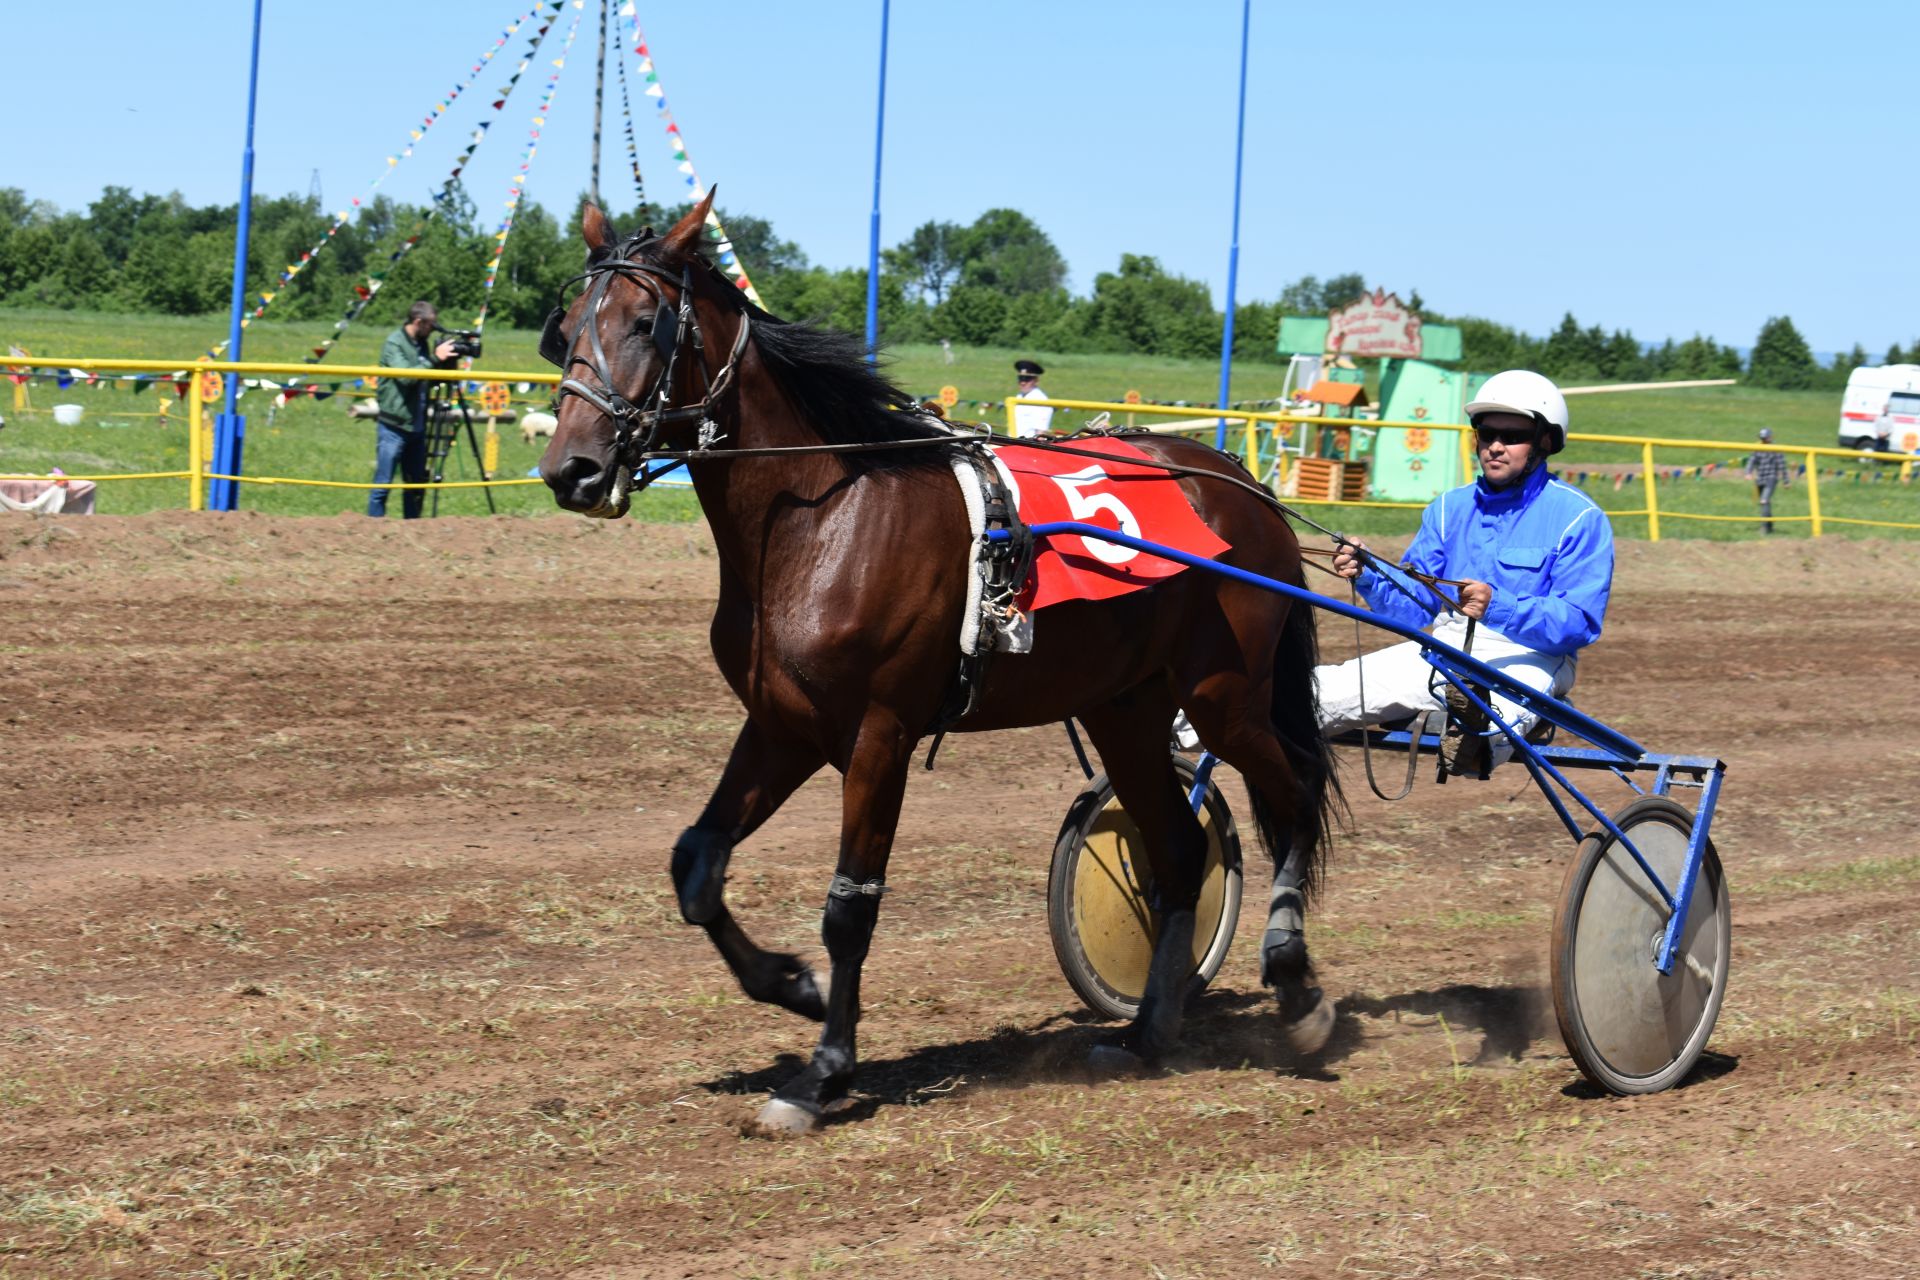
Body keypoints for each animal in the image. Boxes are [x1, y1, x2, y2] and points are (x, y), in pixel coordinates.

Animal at [526, 189, 1336, 1128]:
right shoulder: (783, 727)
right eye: (564, 327)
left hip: (1224, 693)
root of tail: (1242, 480)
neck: (822, 520)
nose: (573, 469)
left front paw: (823, 1072)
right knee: (1177, 851)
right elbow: (696, 863)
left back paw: (1297, 988)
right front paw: (791, 984)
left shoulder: (880, 736)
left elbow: (849, 909)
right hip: (1125, 707)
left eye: (647, 322)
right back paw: (1146, 1033)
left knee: (1295, 792)